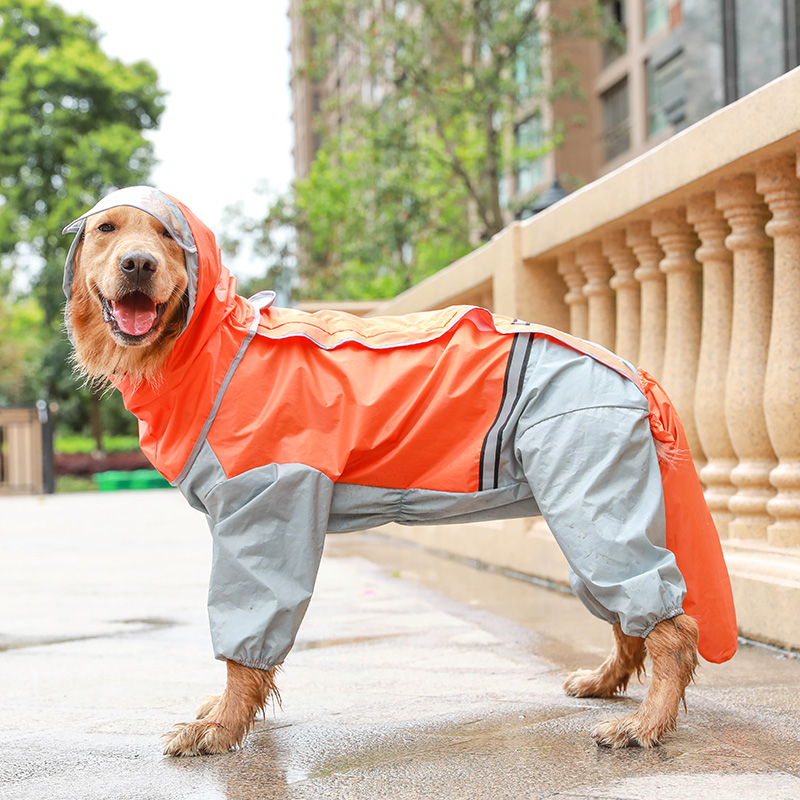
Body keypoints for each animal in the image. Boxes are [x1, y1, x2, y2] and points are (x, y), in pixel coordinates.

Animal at [64, 189, 736, 756]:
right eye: (106, 229)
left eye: (167, 236)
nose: (138, 265)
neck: (208, 347)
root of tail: (629, 369)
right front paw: (224, 714)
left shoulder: (267, 508)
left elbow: (247, 640)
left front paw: (222, 729)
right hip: (586, 508)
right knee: (632, 617)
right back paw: (604, 682)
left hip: (590, 499)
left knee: (671, 628)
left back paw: (646, 724)